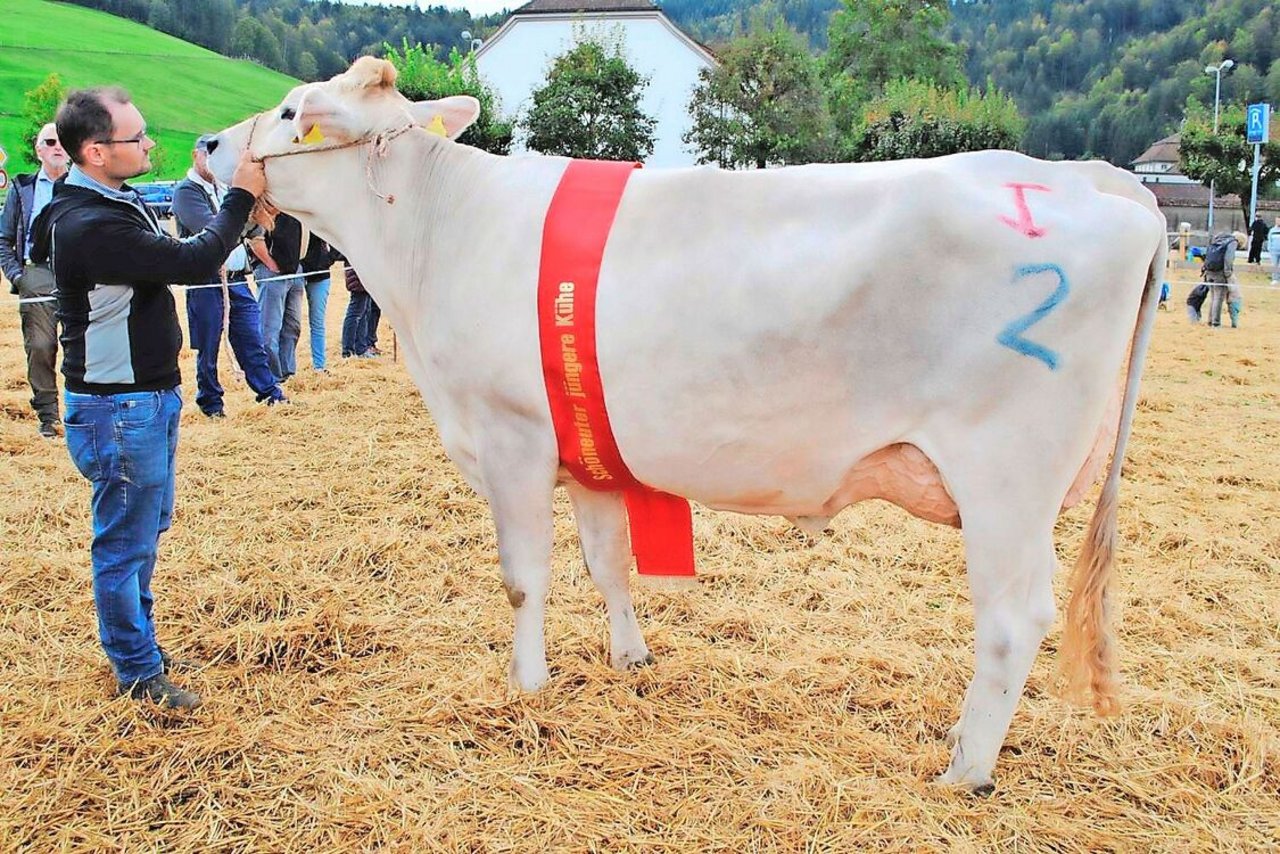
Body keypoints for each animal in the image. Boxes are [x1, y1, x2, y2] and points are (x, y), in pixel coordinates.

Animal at [209, 58, 1172, 793]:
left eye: (291, 111)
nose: (212, 146)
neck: (436, 235)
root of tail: (1095, 179)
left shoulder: (512, 436)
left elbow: (523, 580)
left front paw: (526, 688)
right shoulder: (583, 445)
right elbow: (607, 563)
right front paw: (629, 659)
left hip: (1006, 477)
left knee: (1012, 618)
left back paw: (965, 769)